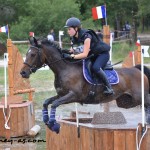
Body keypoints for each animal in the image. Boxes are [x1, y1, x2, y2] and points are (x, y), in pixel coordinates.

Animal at [20, 37, 150, 134]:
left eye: (32, 54)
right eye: (27, 54)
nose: (23, 72)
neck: (65, 69)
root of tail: (137, 70)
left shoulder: (73, 95)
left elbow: (55, 104)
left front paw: (53, 125)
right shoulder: (61, 94)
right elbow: (46, 102)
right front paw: (47, 120)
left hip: (139, 97)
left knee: (147, 103)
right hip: (125, 102)